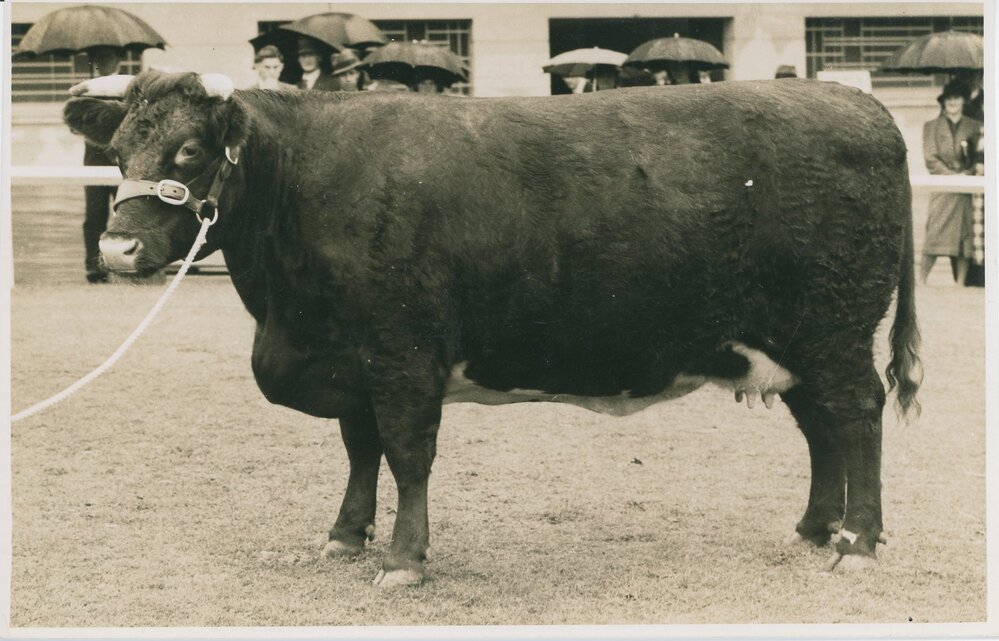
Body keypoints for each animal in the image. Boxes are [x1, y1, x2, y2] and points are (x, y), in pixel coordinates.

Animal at [64, 70, 920, 588]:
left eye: (190, 150)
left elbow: (407, 452)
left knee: (856, 416)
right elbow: (360, 448)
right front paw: (344, 534)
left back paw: (859, 539)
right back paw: (815, 526)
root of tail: (853, 102)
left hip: (833, 330)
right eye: (118, 150)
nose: (117, 248)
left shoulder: (403, 352)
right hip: (791, 341)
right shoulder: (351, 359)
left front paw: (404, 559)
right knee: (821, 428)